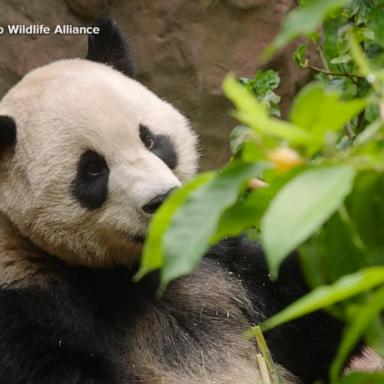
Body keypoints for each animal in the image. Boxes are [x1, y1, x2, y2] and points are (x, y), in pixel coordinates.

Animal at [0, 18, 360, 384]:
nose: (162, 199)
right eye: (92, 169)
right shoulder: (26, 300)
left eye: (150, 139)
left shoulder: (215, 258)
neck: (130, 271)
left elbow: (306, 314)